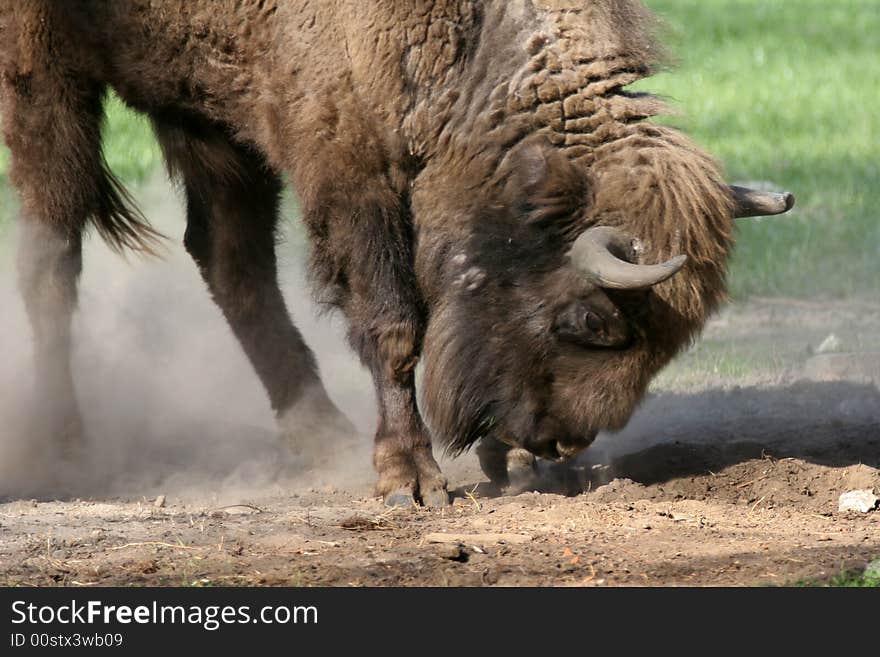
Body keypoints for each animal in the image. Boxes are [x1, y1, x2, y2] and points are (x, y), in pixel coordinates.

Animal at [0, 0, 796, 504]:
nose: (558, 445)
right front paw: (409, 480)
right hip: (46, 81)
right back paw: (63, 446)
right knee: (53, 256)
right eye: (592, 322)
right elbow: (393, 327)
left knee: (230, 260)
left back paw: (318, 433)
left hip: (204, 107)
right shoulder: (353, 176)